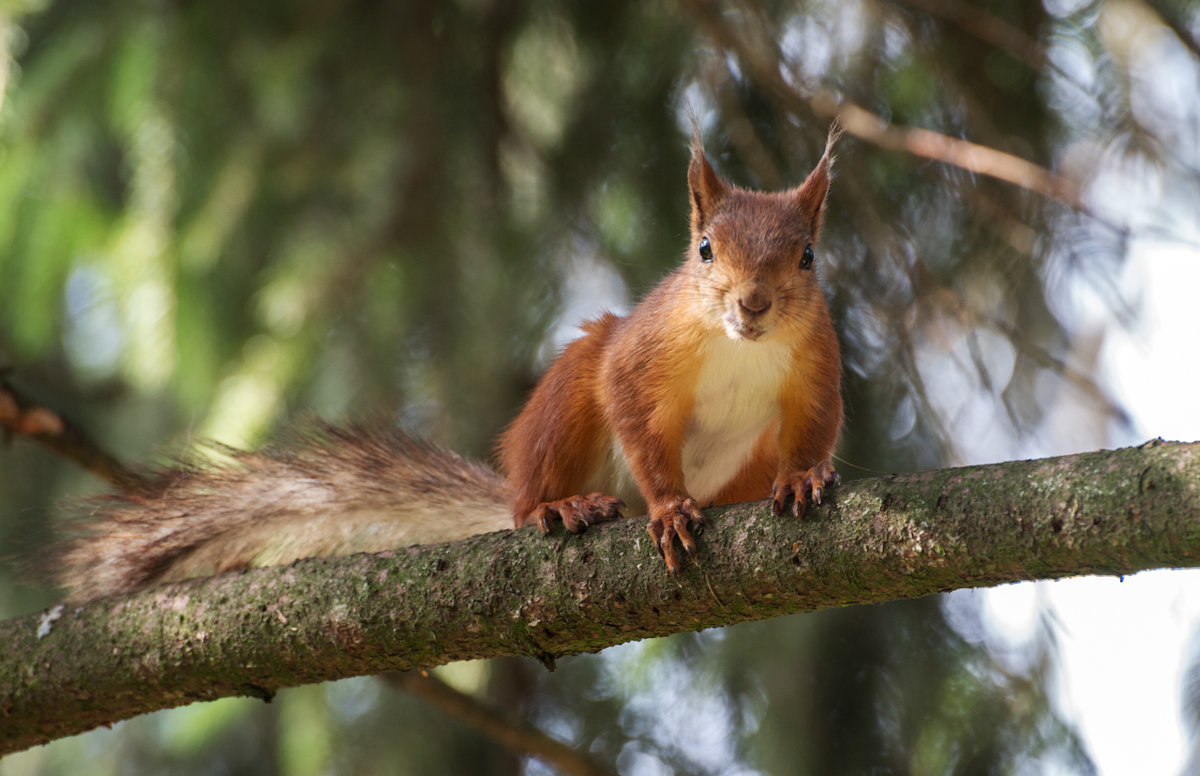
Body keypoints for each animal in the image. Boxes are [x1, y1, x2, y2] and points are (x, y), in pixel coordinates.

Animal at [56, 127, 844, 604]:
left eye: (807, 256)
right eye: (705, 250)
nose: (754, 303)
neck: (742, 349)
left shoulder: (816, 366)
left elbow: (815, 425)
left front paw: (805, 478)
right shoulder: (641, 354)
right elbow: (635, 413)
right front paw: (671, 507)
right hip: (561, 411)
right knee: (530, 500)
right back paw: (558, 507)